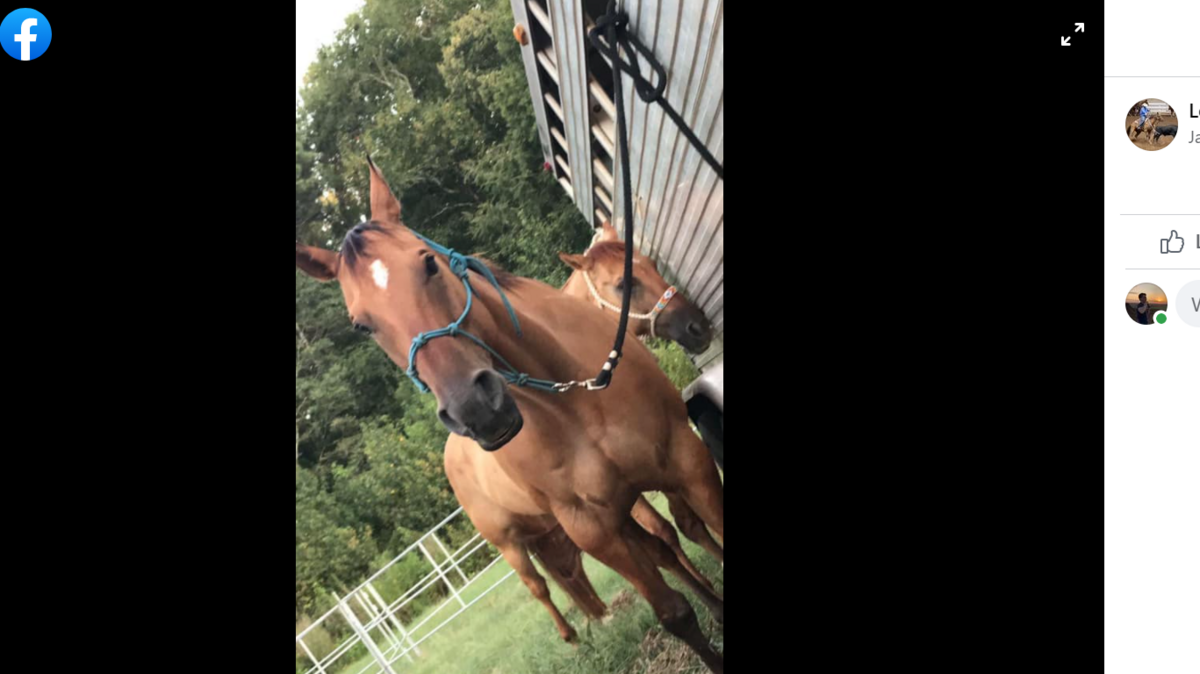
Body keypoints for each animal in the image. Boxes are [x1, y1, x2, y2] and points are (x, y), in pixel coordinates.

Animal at [295, 158, 725, 672]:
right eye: (362, 324)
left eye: (428, 261)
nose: (476, 408)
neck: (574, 400)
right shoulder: (594, 528)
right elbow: (674, 610)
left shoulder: (686, 462)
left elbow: (692, 529)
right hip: (513, 544)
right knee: (540, 585)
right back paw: (576, 636)